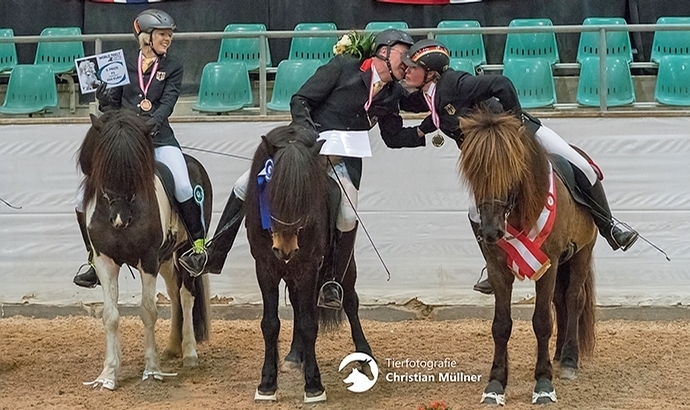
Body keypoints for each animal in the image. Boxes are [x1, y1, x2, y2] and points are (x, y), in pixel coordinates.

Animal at [77, 109, 210, 390]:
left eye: (134, 168)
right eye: (104, 166)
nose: (119, 219)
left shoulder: (147, 260)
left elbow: (148, 312)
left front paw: (151, 369)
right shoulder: (105, 262)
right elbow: (110, 315)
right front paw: (108, 374)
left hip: (184, 253)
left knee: (186, 295)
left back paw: (189, 353)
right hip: (167, 259)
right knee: (174, 293)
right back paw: (172, 348)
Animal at [246, 125, 374, 404]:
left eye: (305, 194)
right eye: (271, 192)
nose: (285, 247)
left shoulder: (307, 267)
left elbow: (308, 323)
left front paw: (314, 385)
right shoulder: (265, 267)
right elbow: (270, 324)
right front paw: (267, 384)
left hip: (342, 267)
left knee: (350, 302)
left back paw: (364, 356)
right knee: (297, 304)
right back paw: (295, 356)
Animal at [456, 110, 596, 406]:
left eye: (511, 171)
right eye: (474, 173)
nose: (491, 231)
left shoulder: (548, 265)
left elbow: (542, 321)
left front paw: (543, 384)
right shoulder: (499, 269)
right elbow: (501, 325)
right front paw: (495, 384)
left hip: (582, 252)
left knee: (573, 299)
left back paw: (569, 359)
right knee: (560, 300)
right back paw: (558, 354)